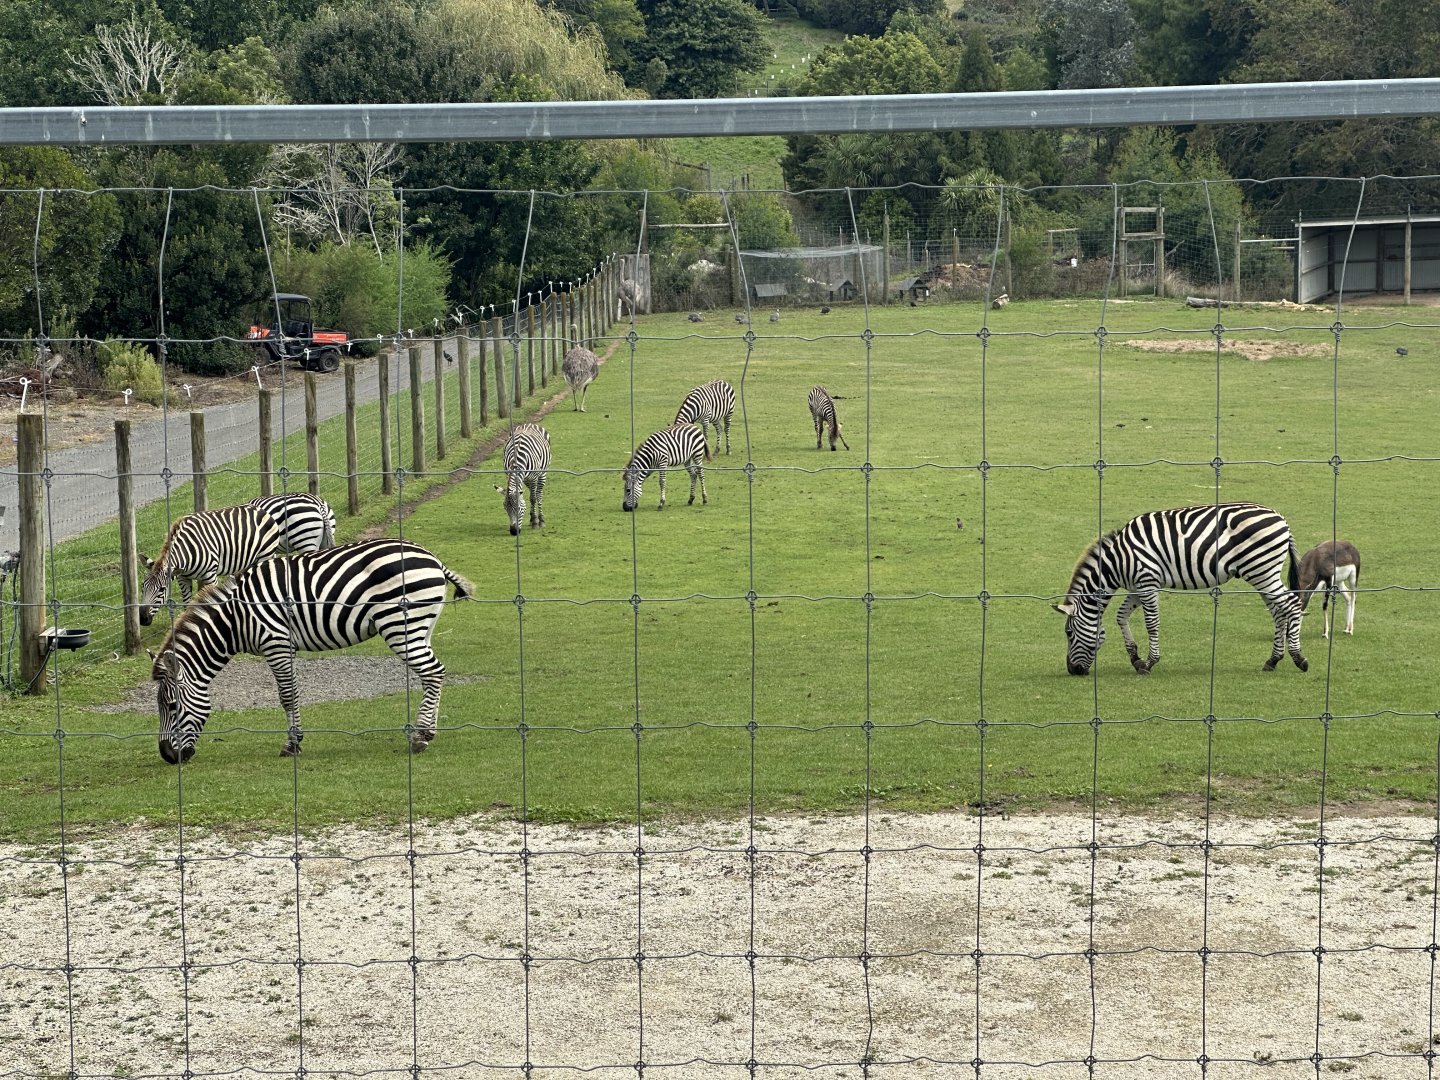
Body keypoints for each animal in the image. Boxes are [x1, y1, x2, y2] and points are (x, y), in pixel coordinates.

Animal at [138, 504, 284, 627]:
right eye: (142, 587)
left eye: (162, 589)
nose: (143, 619)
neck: (186, 553)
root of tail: (260, 510)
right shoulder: (183, 578)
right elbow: (187, 604)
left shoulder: (210, 576)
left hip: (265, 554)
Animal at [149, 538, 473, 762]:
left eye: (172, 707)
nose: (168, 756)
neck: (235, 619)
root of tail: (432, 558)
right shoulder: (281, 646)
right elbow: (290, 694)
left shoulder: (276, 643)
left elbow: (287, 696)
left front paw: (292, 744)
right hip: (421, 627)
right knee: (432, 674)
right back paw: (426, 730)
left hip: (400, 625)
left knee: (433, 672)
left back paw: (421, 737)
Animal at [1054, 502, 1308, 676]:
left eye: (1068, 633)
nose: (1073, 670)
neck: (1115, 562)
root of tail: (1281, 519)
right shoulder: (1137, 586)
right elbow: (1120, 616)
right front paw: (1135, 658)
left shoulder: (1147, 581)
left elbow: (1151, 623)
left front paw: (1149, 663)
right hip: (1262, 572)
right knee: (1279, 611)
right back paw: (1273, 660)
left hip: (1262, 569)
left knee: (1293, 605)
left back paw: (1298, 658)